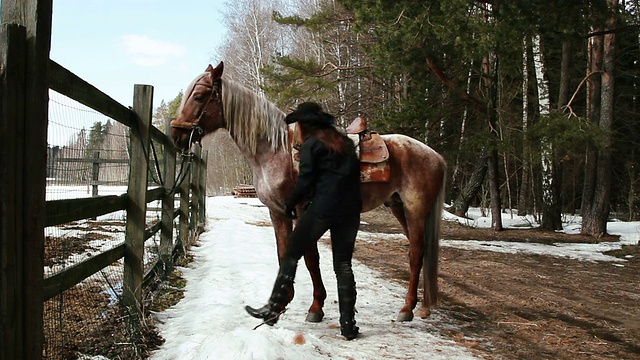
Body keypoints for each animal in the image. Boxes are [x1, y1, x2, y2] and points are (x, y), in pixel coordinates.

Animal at [172, 62, 448, 324]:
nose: (176, 135)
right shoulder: (278, 212)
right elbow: (284, 253)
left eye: (199, 96)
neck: (276, 151)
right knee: (421, 251)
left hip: (415, 209)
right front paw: (277, 306)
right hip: (398, 207)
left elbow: (310, 257)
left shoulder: (304, 210)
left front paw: (315, 307)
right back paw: (422, 307)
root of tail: (435, 155)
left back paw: (407, 309)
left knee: (416, 253)